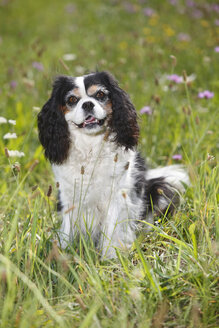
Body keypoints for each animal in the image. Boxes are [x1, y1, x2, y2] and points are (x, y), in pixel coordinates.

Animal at [37, 71, 188, 258]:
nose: (88, 104)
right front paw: (63, 254)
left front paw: (111, 257)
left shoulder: (117, 197)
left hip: (160, 191)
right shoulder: (69, 198)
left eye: (100, 95)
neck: (91, 146)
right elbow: (68, 231)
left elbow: (112, 229)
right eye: (72, 99)